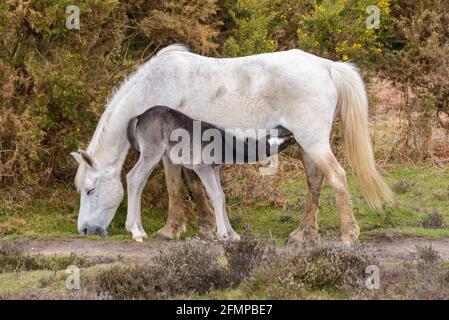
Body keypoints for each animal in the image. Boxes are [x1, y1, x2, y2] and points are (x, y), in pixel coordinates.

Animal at [71, 44, 392, 245]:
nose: (86, 229)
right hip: (305, 143)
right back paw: (302, 234)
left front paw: (171, 230)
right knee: (315, 182)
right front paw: (207, 227)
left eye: (90, 190)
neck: (154, 87)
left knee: (336, 178)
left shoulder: (167, 152)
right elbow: (195, 187)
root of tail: (327, 67)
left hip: (312, 141)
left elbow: (176, 186)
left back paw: (348, 235)